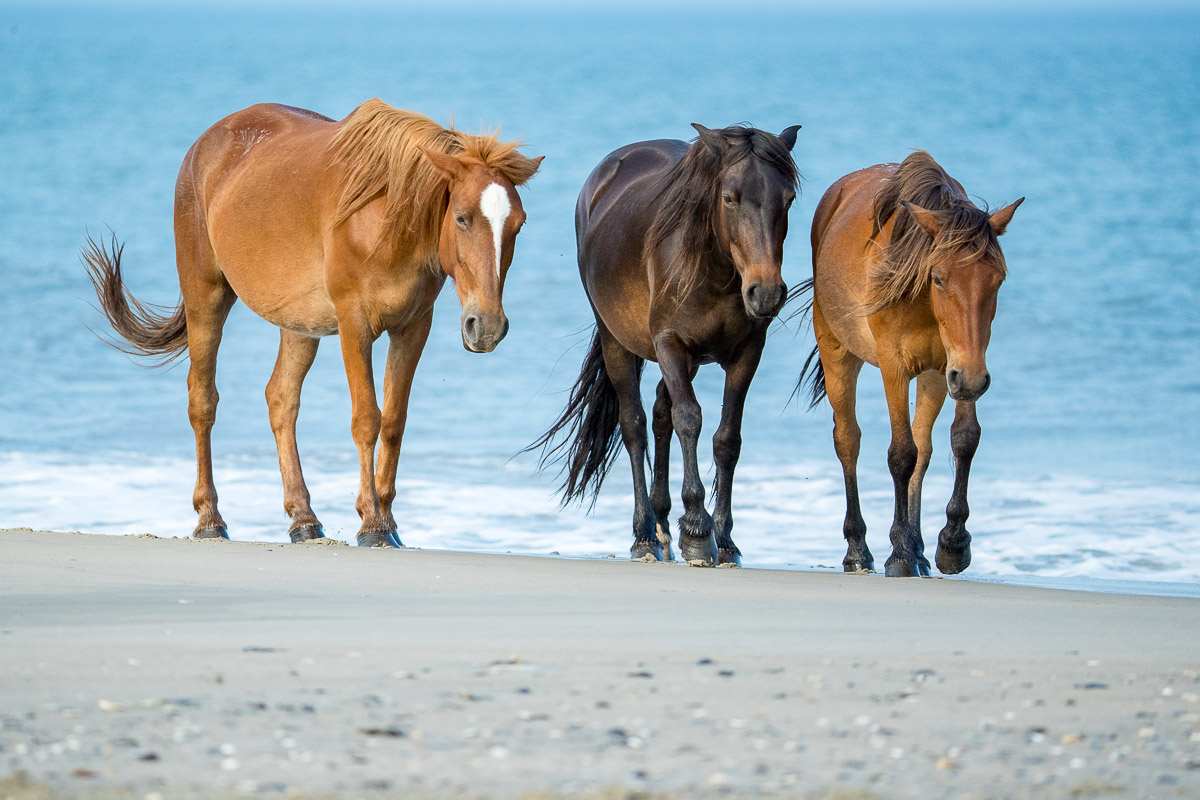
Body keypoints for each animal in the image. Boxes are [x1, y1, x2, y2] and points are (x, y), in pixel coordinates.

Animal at [87, 100, 547, 546]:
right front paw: (372, 524)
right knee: (203, 402)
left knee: (281, 400)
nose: (486, 326)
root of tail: (205, 144)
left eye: (519, 224)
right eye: (462, 218)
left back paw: (303, 519)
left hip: (298, 326)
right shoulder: (354, 324)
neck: (386, 218)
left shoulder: (414, 326)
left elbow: (394, 422)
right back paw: (210, 520)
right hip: (207, 300)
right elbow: (367, 420)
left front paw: (388, 519)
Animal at [532, 122, 796, 566]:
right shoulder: (670, 343)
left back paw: (661, 524)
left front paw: (725, 540)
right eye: (729, 197)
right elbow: (689, 418)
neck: (714, 270)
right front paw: (697, 531)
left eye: (789, 199)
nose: (766, 293)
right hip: (617, 342)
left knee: (659, 414)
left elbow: (727, 438)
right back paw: (644, 535)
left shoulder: (747, 353)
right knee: (635, 424)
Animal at [796, 149, 1022, 575]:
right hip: (838, 353)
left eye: (998, 280)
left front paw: (952, 543)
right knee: (848, 440)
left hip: (936, 376)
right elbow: (901, 453)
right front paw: (899, 552)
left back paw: (918, 549)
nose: (972, 379)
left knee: (925, 446)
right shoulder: (895, 367)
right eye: (939, 278)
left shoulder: (953, 366)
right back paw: (859, 550)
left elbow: (961, 439)